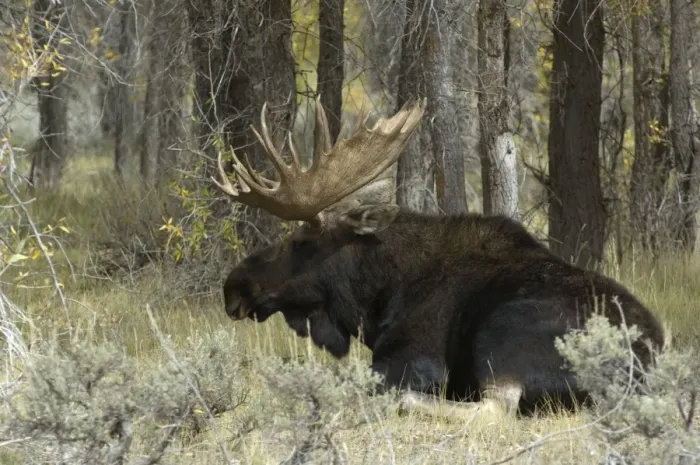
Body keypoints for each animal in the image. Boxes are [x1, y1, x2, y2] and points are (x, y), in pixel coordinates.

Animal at [211, 97, 666, 420]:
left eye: (303, 240)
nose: (233, 286)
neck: (378, 298)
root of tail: (643, 366)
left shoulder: (410, 359)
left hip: (503, 334)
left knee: (494, 411)